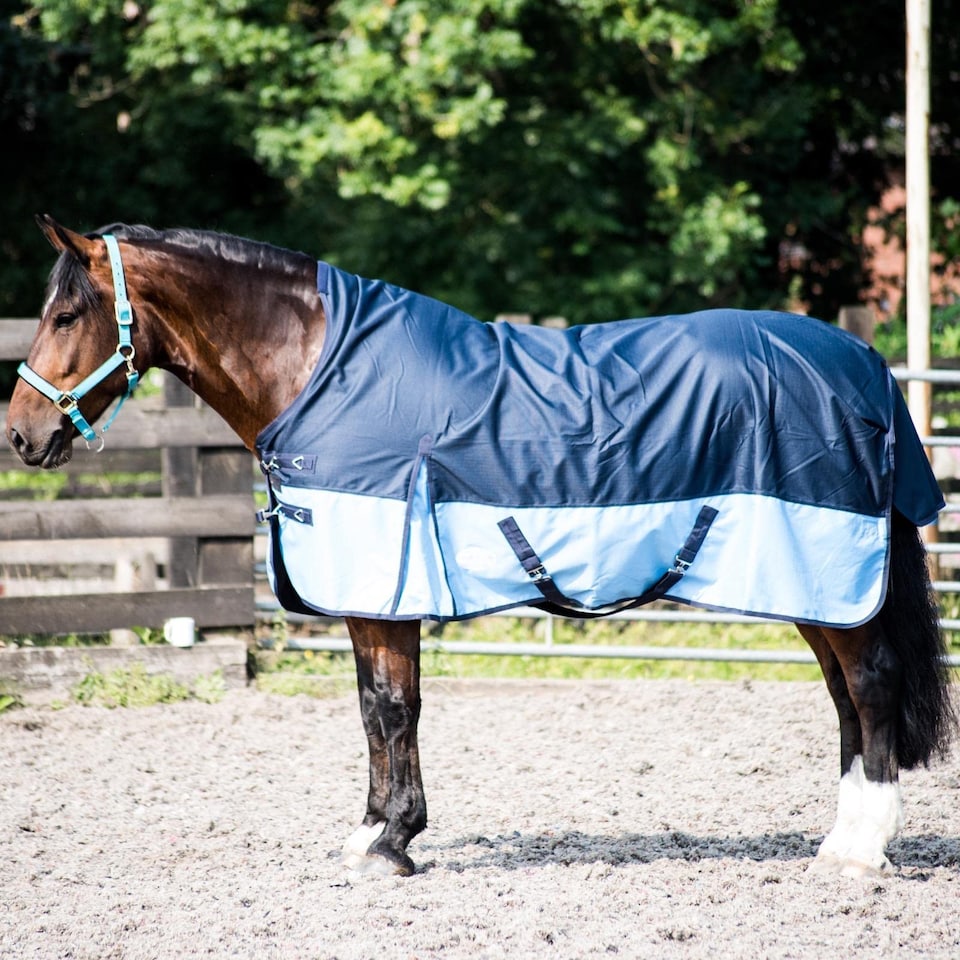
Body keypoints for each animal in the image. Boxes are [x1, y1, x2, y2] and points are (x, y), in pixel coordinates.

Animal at [6, 216, 955, 879]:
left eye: (66, 313)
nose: (21, 435)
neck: (321, 369)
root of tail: (863, 363)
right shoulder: (372, 597)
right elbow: (375, 709)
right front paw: (375, 831)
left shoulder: (386, 586)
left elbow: (393, 708)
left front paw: (391, 842)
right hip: (818, 587)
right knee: (844, 698)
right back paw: (842, 836)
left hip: (828, 572)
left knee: (870, 686)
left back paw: (859, 852)